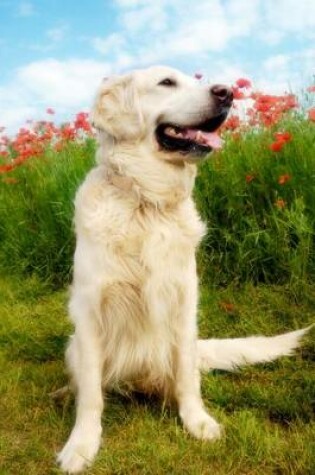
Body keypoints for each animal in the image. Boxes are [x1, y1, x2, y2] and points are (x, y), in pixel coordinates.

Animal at [58, 65, 310, 474]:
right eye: (166, 83)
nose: (227, 93)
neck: (147, 202)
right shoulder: (90, 312)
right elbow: (92, 393)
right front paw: (81, 445)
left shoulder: (184, 301)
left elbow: (187, 382)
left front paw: (197, 422)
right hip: (73, 343)